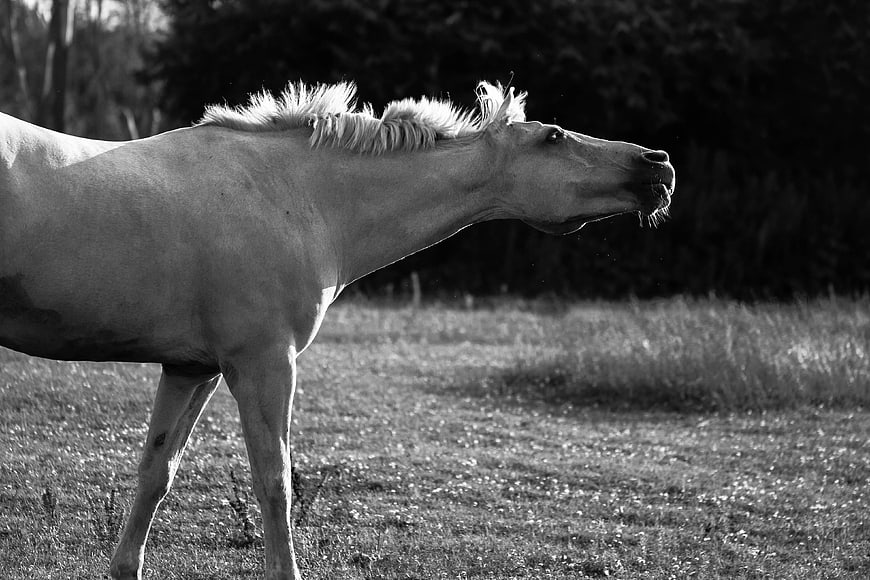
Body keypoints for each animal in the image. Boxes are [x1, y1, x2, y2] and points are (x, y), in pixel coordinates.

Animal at [0, 81, 675, 579]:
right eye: (553, 136)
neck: (299, 196)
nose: (659, 163)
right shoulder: (265, 365)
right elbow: (274, 484)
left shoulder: (193, 369)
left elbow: (155, 475)